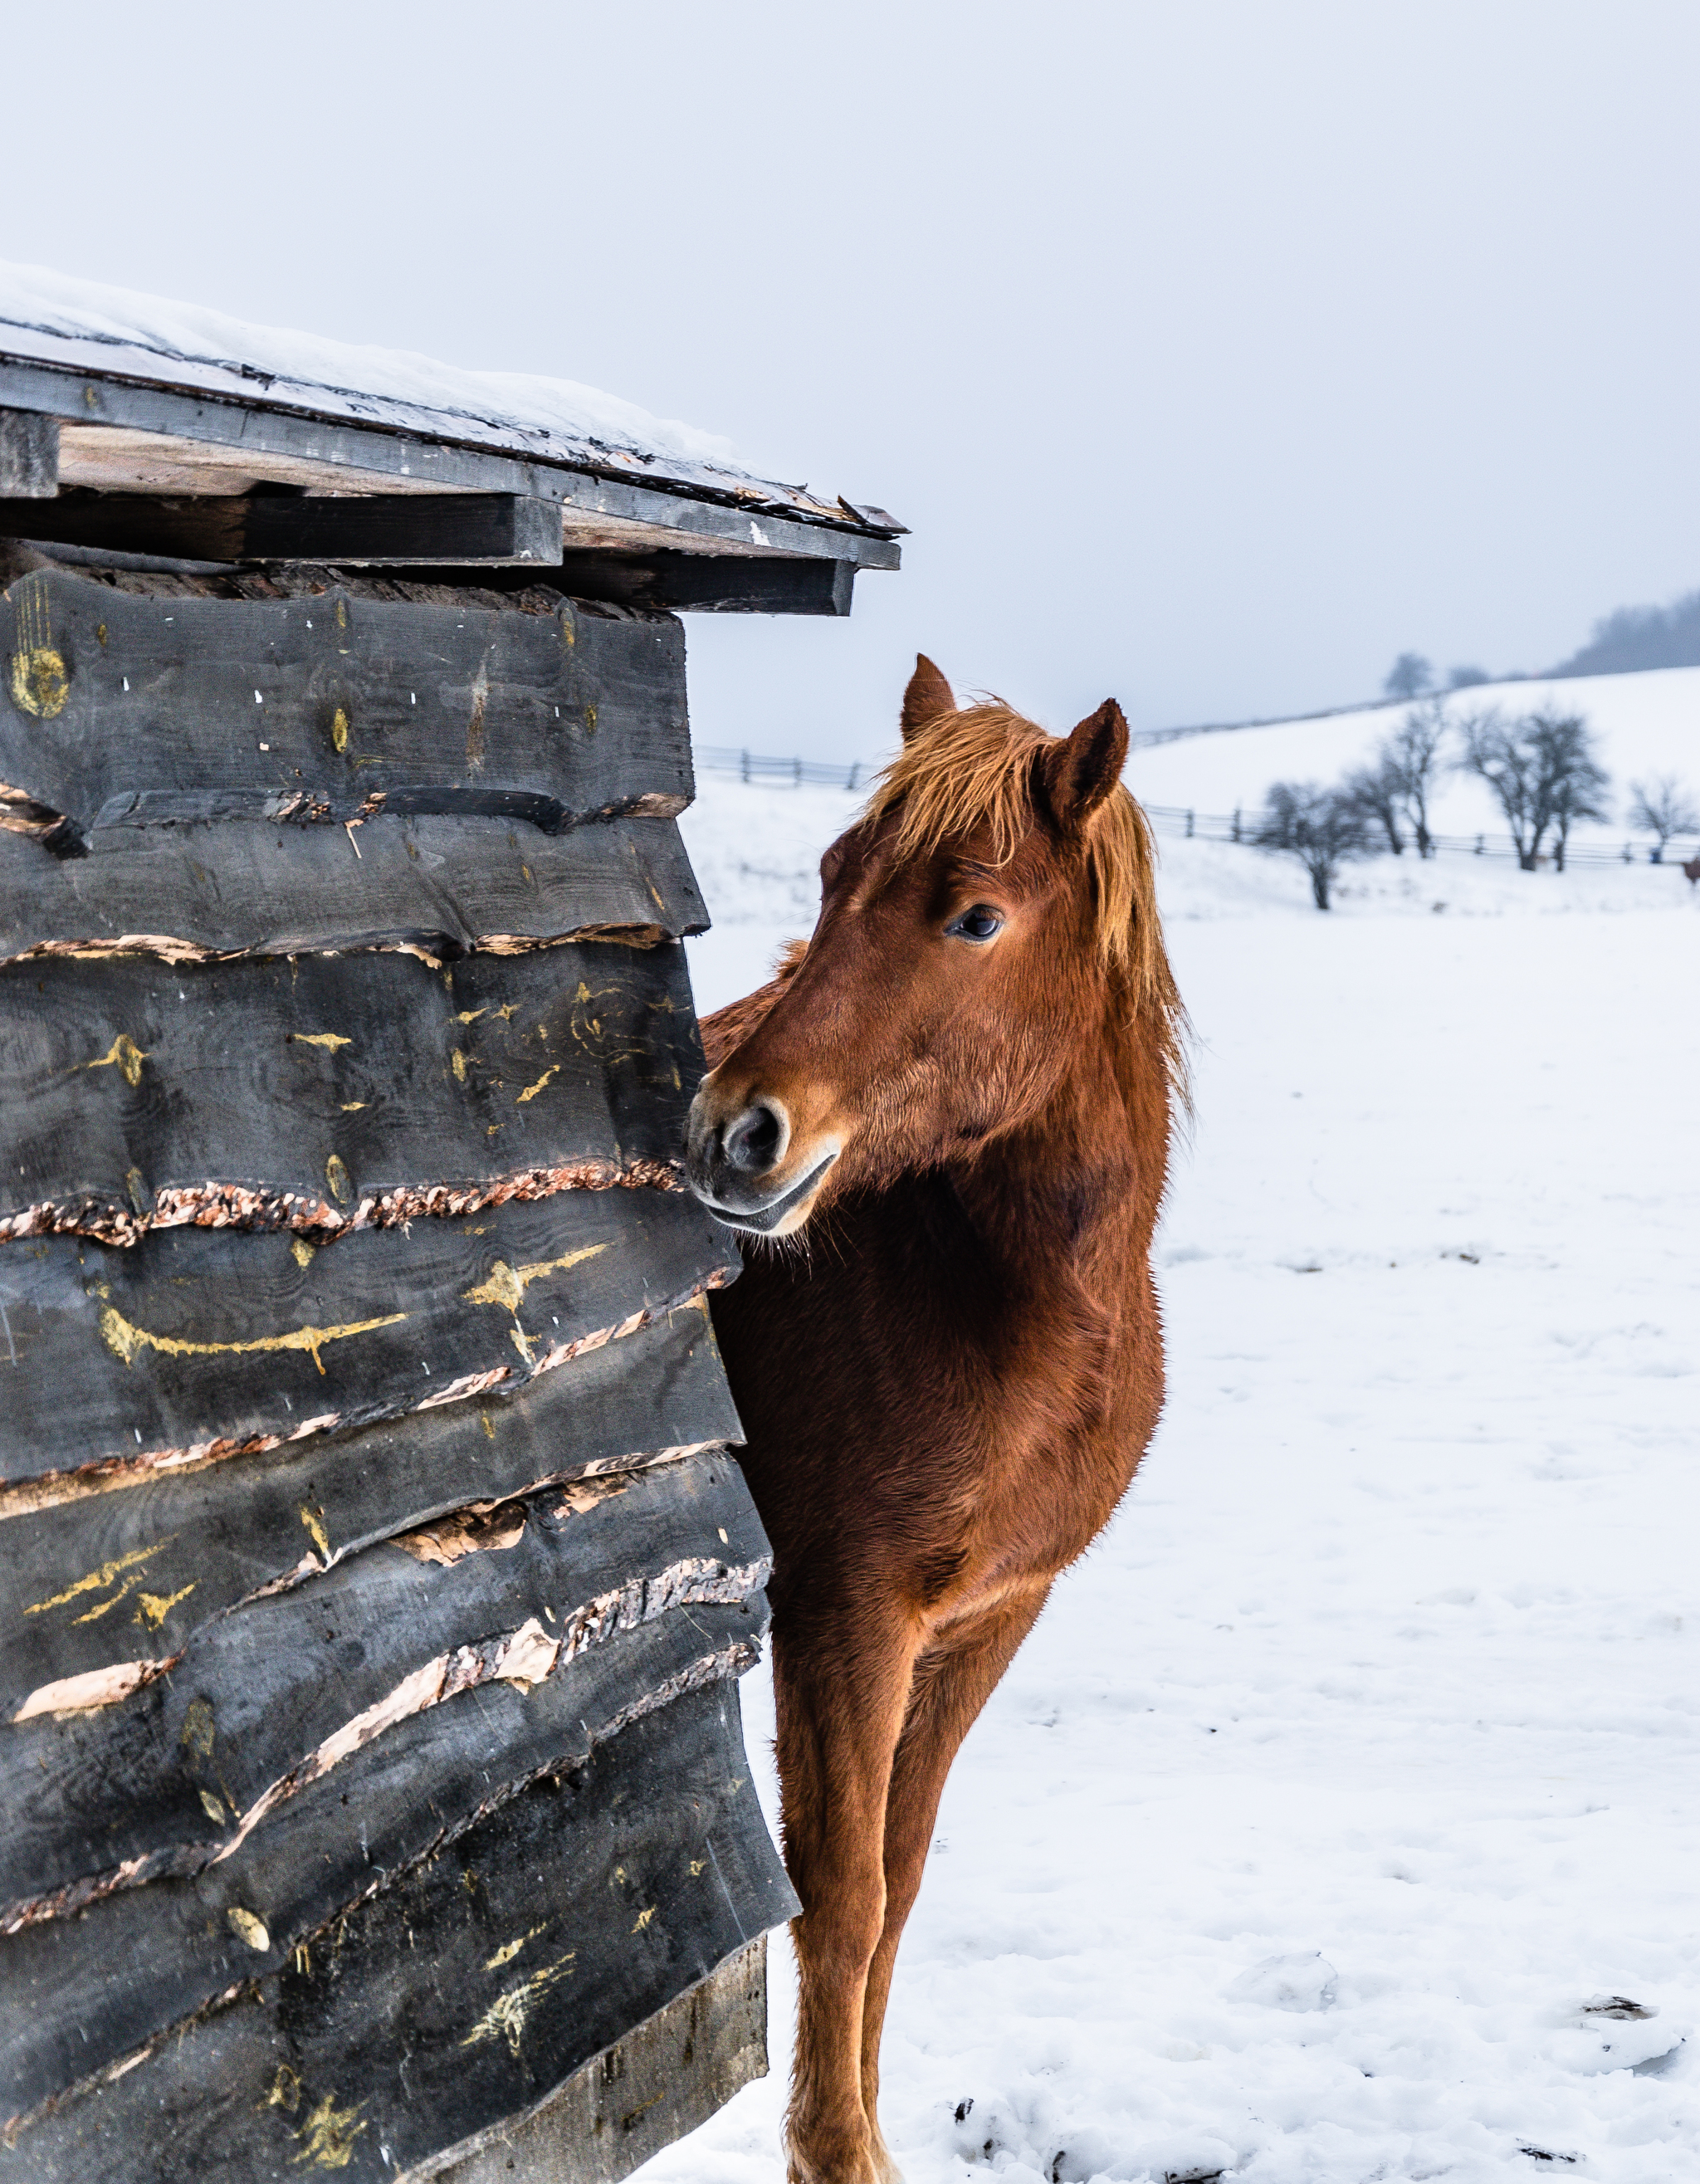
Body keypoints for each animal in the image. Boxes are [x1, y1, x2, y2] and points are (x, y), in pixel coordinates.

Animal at [681, 659, 1189, 2184]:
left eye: (973, 914)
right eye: (834, 875)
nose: (732, 1131)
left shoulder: (981, 1622)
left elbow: (898, 1884)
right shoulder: (842, 1616)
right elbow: (837, 1893)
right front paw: (833, 2153)